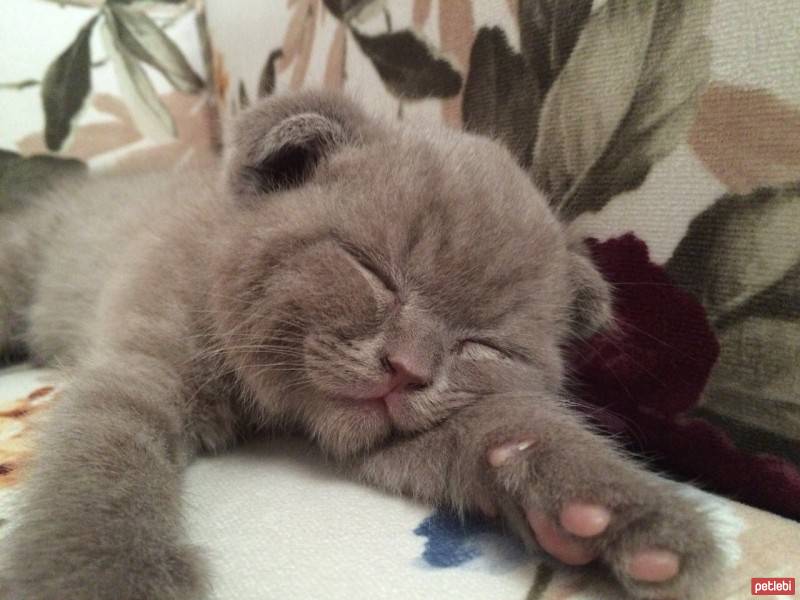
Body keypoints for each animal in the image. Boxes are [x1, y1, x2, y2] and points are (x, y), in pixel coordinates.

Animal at [0, 91, 720, 596]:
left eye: (482, 344)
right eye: (375, 273)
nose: (406, 369)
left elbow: (500, 426)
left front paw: (610, 509)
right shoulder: (142, 360)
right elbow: (105, 458)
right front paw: (104, 576)